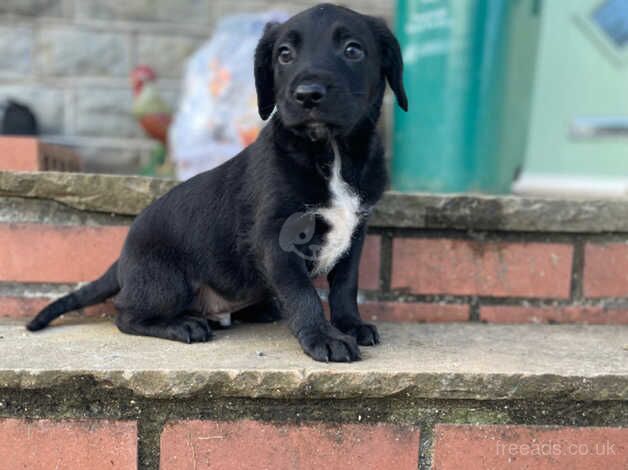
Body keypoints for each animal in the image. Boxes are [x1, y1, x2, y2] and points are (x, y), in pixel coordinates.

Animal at [28, 3, 408, 362]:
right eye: (284, 54)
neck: (332, 153)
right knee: (126, 314)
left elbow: (345, 285)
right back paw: (183, 325)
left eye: (353, 50)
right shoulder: (276, 237)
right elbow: (303, 293)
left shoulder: (355, 232)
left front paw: (350, 325)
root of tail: (122, 261)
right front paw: (323, 337)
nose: (307, 95)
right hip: (166, 282)